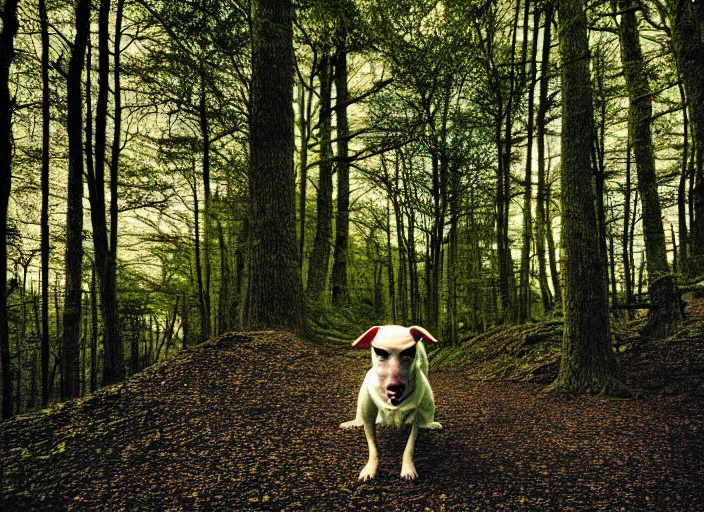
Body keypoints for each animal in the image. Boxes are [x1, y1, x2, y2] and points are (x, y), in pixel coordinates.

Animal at [340, 326, 442, 482]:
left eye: (408, 352)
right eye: (380, 352)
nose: (395, 387)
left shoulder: (417, 412)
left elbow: (410, 443)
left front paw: (408, 469)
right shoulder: (368, 411)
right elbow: (372, 443)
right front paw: (370, 469)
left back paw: (430, 424)